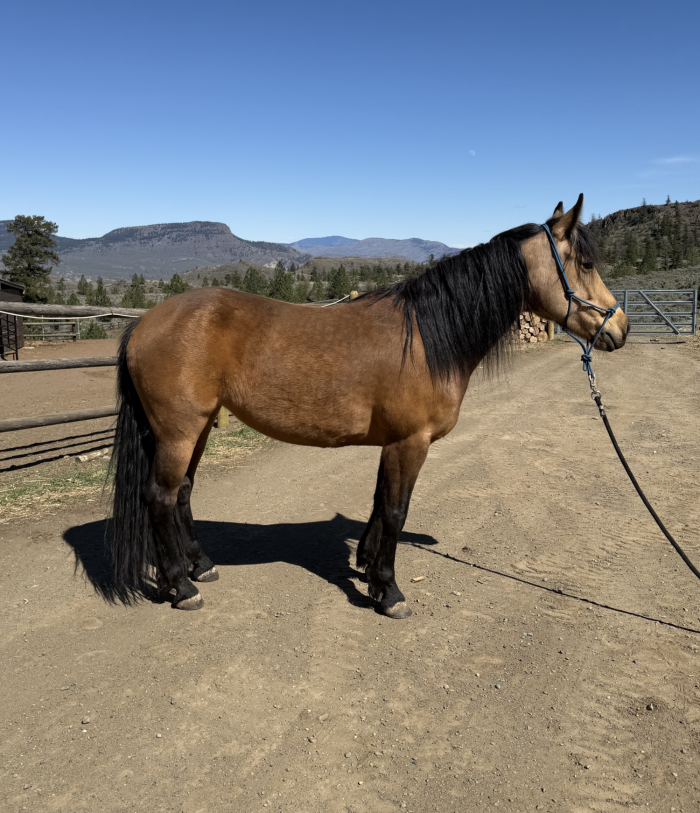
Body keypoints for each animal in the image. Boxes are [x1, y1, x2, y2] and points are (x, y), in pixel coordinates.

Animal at [108, 194, 629, 618]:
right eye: (584, 262)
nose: (619, 328)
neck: (426, 338)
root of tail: (143, 323)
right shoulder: (411, 442)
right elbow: (397, 511)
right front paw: (389, 592)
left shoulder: (392, 443)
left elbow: (380, 505)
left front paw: (368, 570)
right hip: (178, 431)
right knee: (159, 497)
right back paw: (180, 587)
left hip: (197, 428)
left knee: (183, 492)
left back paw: (200, 566)